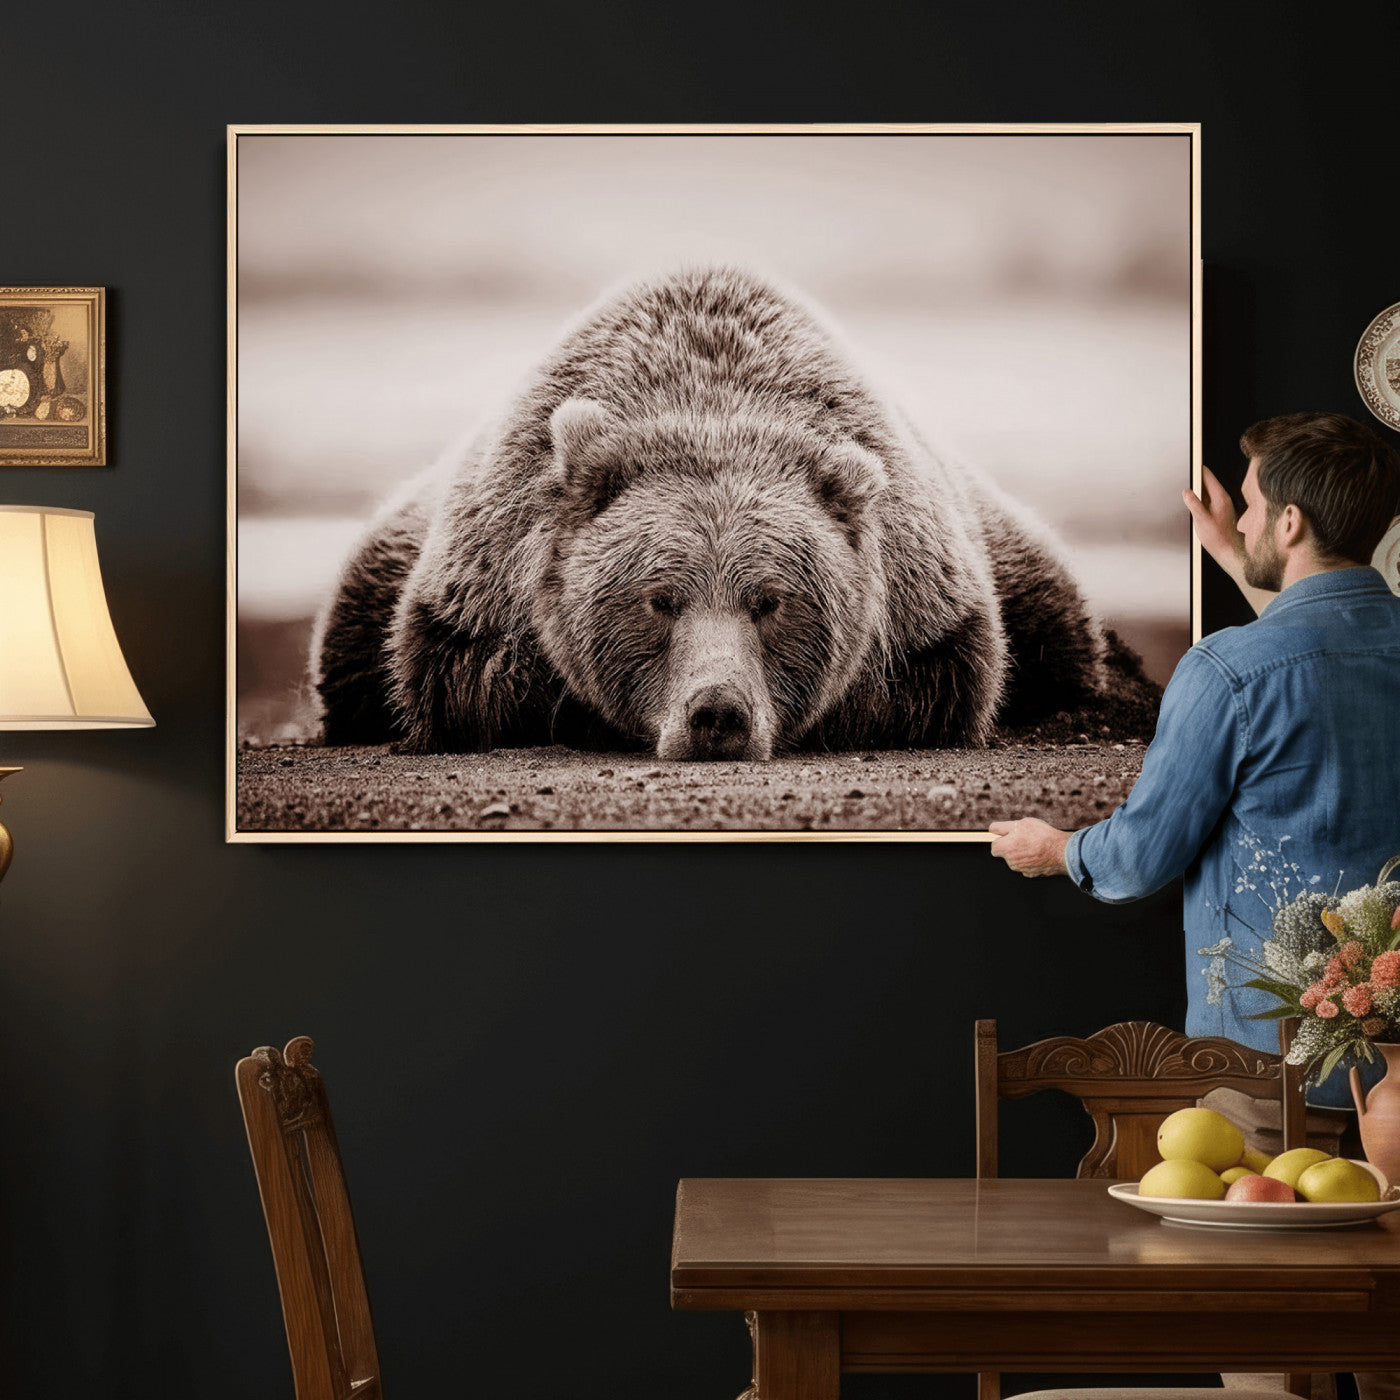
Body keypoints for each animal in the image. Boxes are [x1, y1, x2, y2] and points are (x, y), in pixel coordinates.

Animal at [311, 265, 1105, 760]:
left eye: (771, 600)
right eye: (659, 599)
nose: (717, 712)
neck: (711, 404)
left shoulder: (925, 598)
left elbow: (939, 683)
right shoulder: (484, 578)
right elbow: (464, 681)